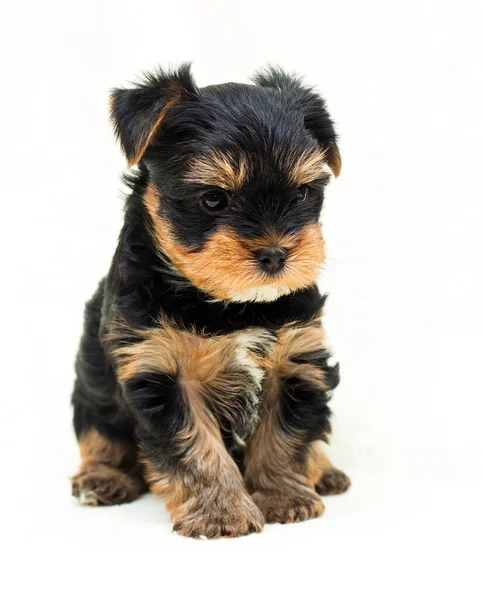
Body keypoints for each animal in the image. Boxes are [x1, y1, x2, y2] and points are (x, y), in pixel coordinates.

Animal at [71, 65, 350, 540]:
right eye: (214, 199)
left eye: (301, 194)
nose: (275, 254)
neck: (231, 304)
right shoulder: (160, 368)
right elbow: (195, 446)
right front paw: (222, 512)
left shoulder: (296, 357)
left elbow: (285, 435)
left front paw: (283, 496)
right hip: (92, 386)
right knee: (100, 431)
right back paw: (103, 477)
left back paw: (323, 470)